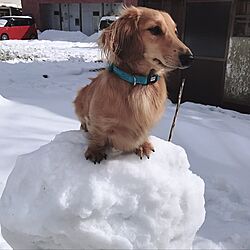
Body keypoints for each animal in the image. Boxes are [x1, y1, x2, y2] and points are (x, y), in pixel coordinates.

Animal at [73, 5, 192, 163]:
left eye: (175, 31)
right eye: (155, 29)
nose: (189, 57)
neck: (139, 85)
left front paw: (142, 145)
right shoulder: (99, 122)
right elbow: (98, 135)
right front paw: (95, 150)